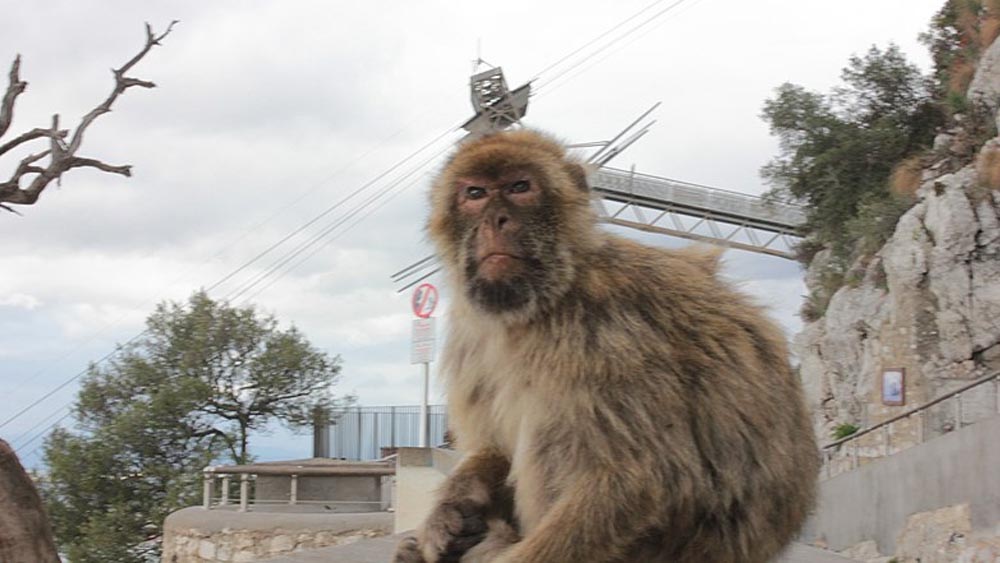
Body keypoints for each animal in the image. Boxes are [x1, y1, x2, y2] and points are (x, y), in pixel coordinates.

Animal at [392, 130, 820, 563]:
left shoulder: (605, 330)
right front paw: (453, 509)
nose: (496, 220)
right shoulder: (472, 333)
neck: (542, 303)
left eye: (519, 187)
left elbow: (639, 475)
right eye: (476, 193)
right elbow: (494, 448)